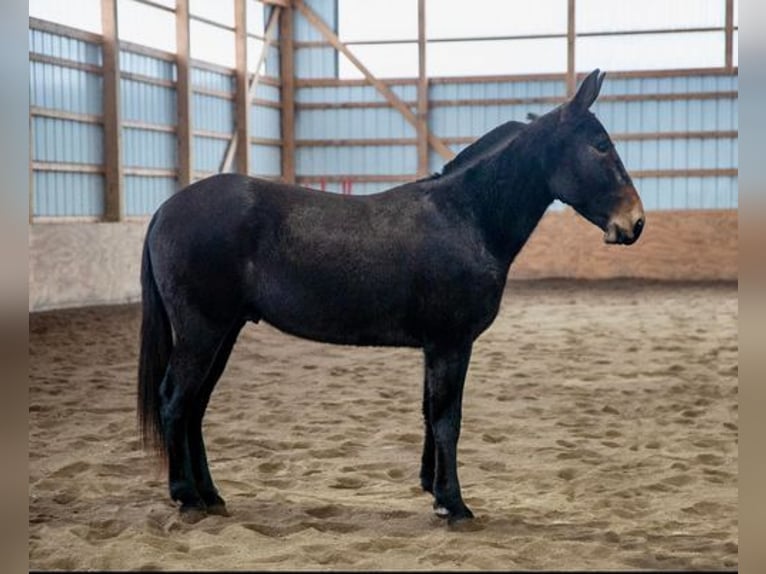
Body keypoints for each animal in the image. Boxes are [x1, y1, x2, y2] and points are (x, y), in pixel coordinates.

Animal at [140, 71, 648, 528]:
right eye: (600, 145)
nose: (636, 222)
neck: (466, 217)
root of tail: (165, 209)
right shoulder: (451, 343)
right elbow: (447, 419)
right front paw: (454, 505)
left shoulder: (436, 347)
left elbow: (429, 413)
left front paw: (433, 490)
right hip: (202, 332)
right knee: (175, 399)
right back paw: (186, 497)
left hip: (223, 332)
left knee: (195, 406)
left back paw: (211, 496)